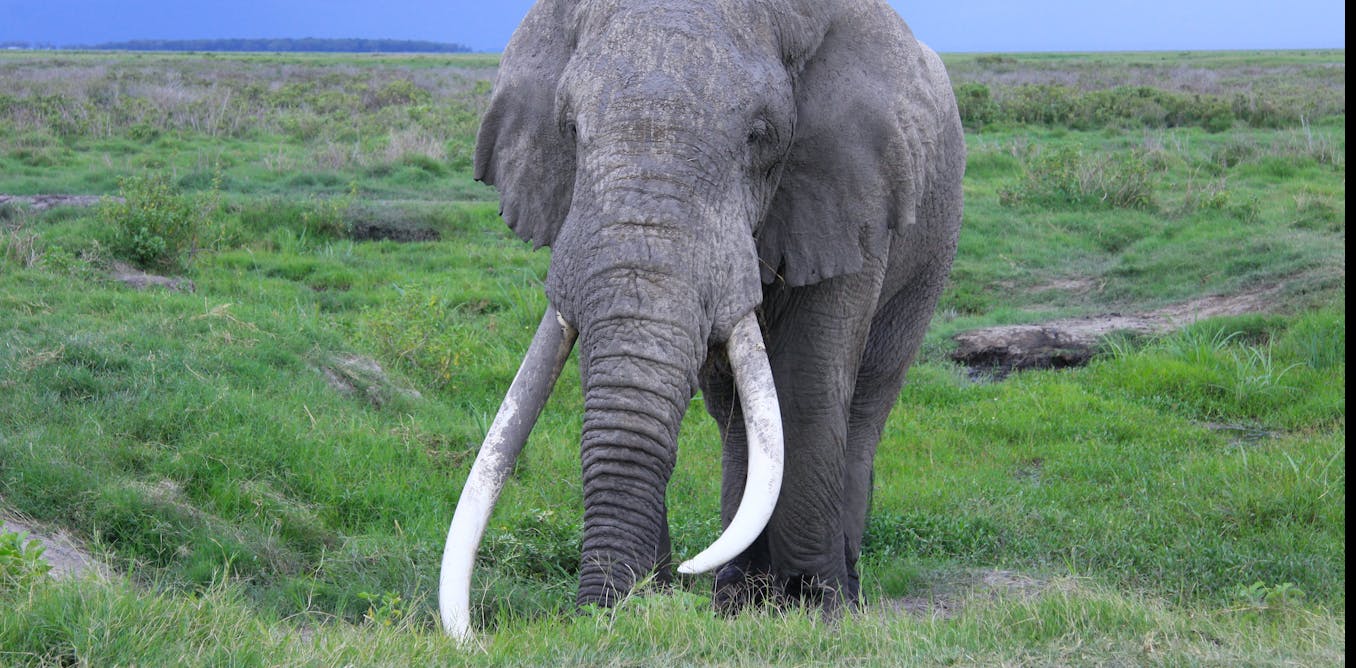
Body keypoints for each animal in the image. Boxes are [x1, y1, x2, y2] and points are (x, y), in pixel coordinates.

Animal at [439, 0, 965, 639]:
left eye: (759, 136)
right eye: (570, 130)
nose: (599, 614)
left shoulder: (851, 190)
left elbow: (808, 385)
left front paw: (818, 613)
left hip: (932, 250)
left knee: (864, 402)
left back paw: (828, 591)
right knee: (734, 410)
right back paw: (739, 599)